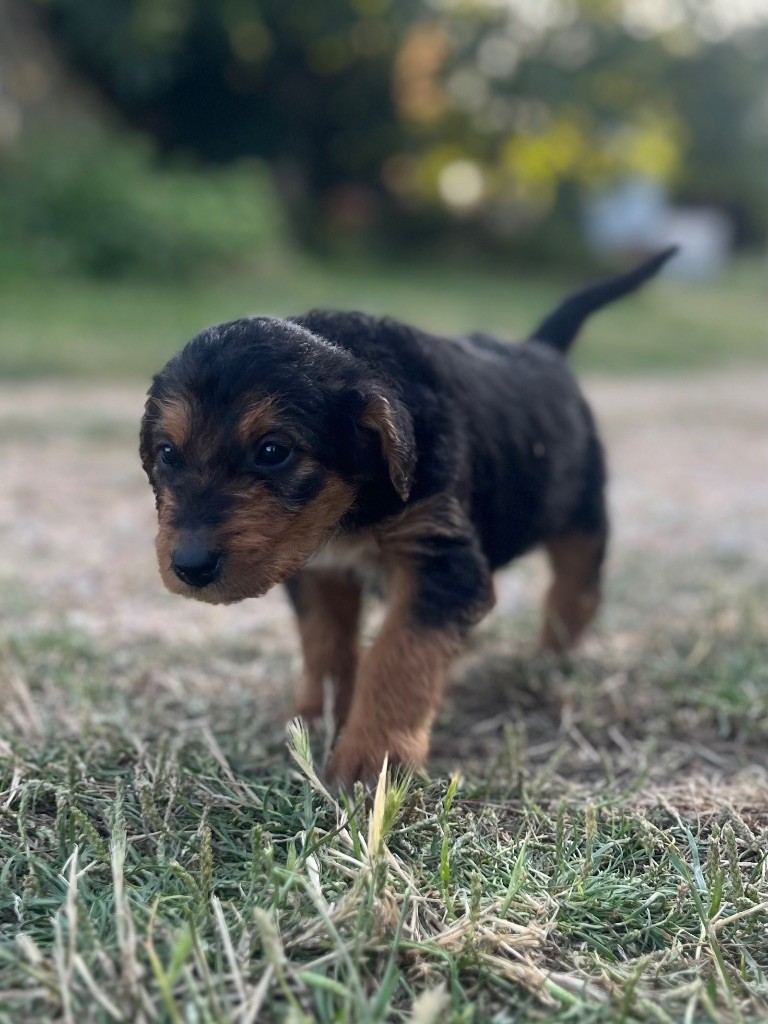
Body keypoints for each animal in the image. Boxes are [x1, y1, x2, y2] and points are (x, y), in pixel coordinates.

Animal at [141, 249, 675, 790]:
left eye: (273, 451)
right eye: (166, 452)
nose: (189, 566)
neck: (354, 511)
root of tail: (542, 349)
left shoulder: (440, 560)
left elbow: (397, 653)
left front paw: (371, 758)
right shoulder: (317, 567)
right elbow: (325, 644)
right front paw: (314, 720)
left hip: (582, 513)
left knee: (575, 586)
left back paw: (552, 659)